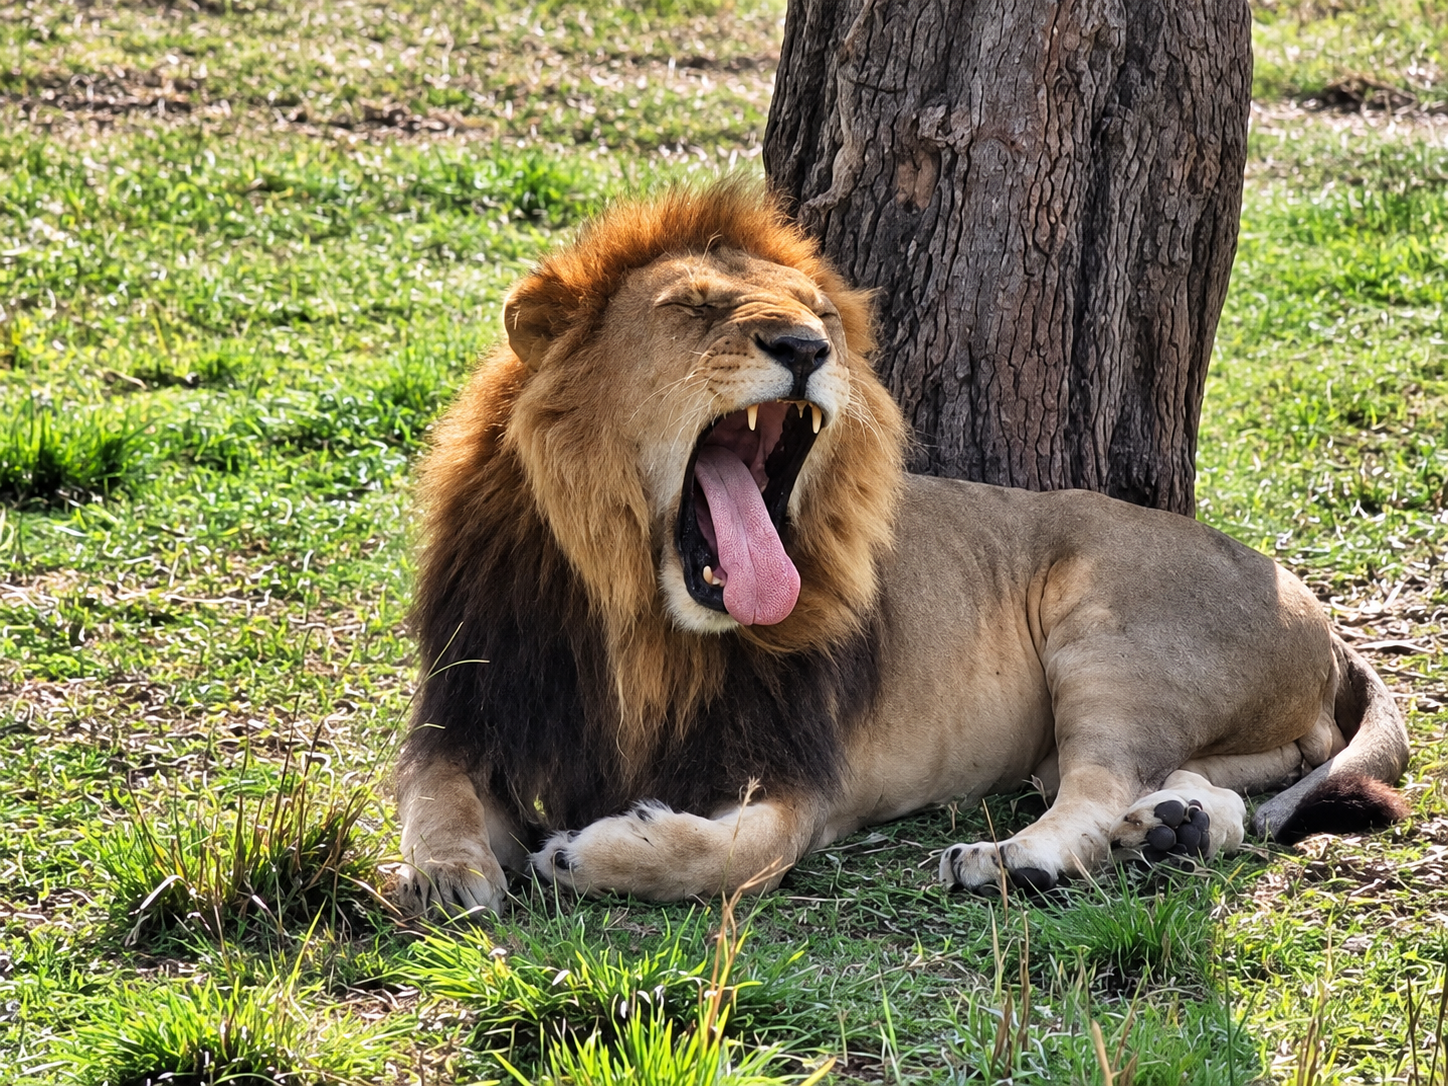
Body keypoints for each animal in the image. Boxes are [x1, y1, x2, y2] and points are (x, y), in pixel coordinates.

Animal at [395, 181, 1410, 916]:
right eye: (693, 307)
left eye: (820, 313)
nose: (804, 346)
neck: (642, 622)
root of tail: (1323, 619)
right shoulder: (475, 701)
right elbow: (429, 790)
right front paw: (450, 871)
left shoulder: (805, 772)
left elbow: (738, 855)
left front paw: (584, 852)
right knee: (1195, 786)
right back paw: (1177, 826)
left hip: (1116, 637)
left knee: (1094, 785)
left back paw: (1016, 859)